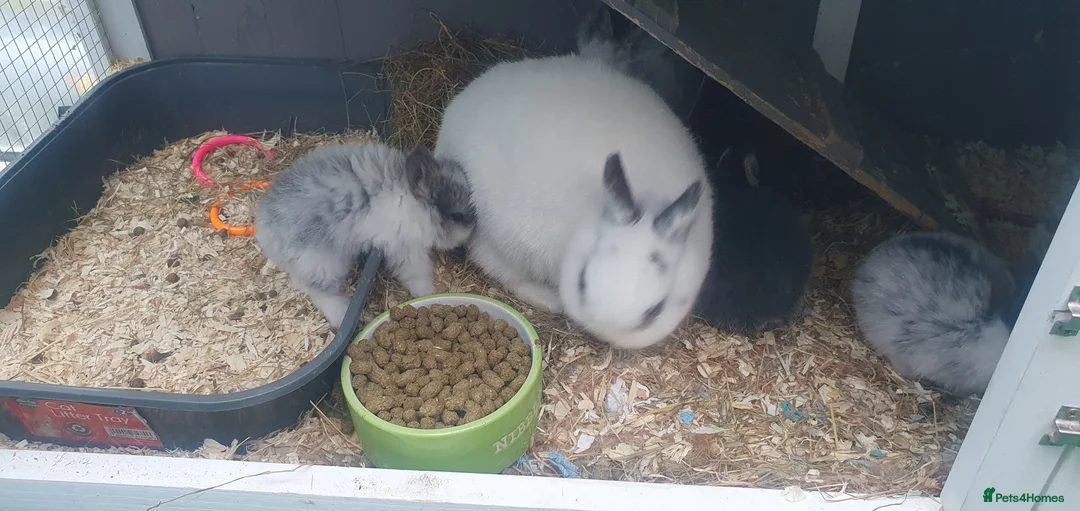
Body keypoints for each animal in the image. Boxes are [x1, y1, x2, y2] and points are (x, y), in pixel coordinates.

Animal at [255, 143, 475, 329]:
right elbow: (416, 273)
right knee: (317, 291)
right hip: (321, 262)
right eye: (458, 215)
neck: (411, 202)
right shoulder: (405, 248)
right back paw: (341, 314)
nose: (473, 227)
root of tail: (264, 228)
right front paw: (427, 292)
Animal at [434, 54, 713, 350]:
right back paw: (549, 299)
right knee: (494, 265)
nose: (600, 333)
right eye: (581, 282)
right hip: (505, 242)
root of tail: (452, 121)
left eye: (655, 311)